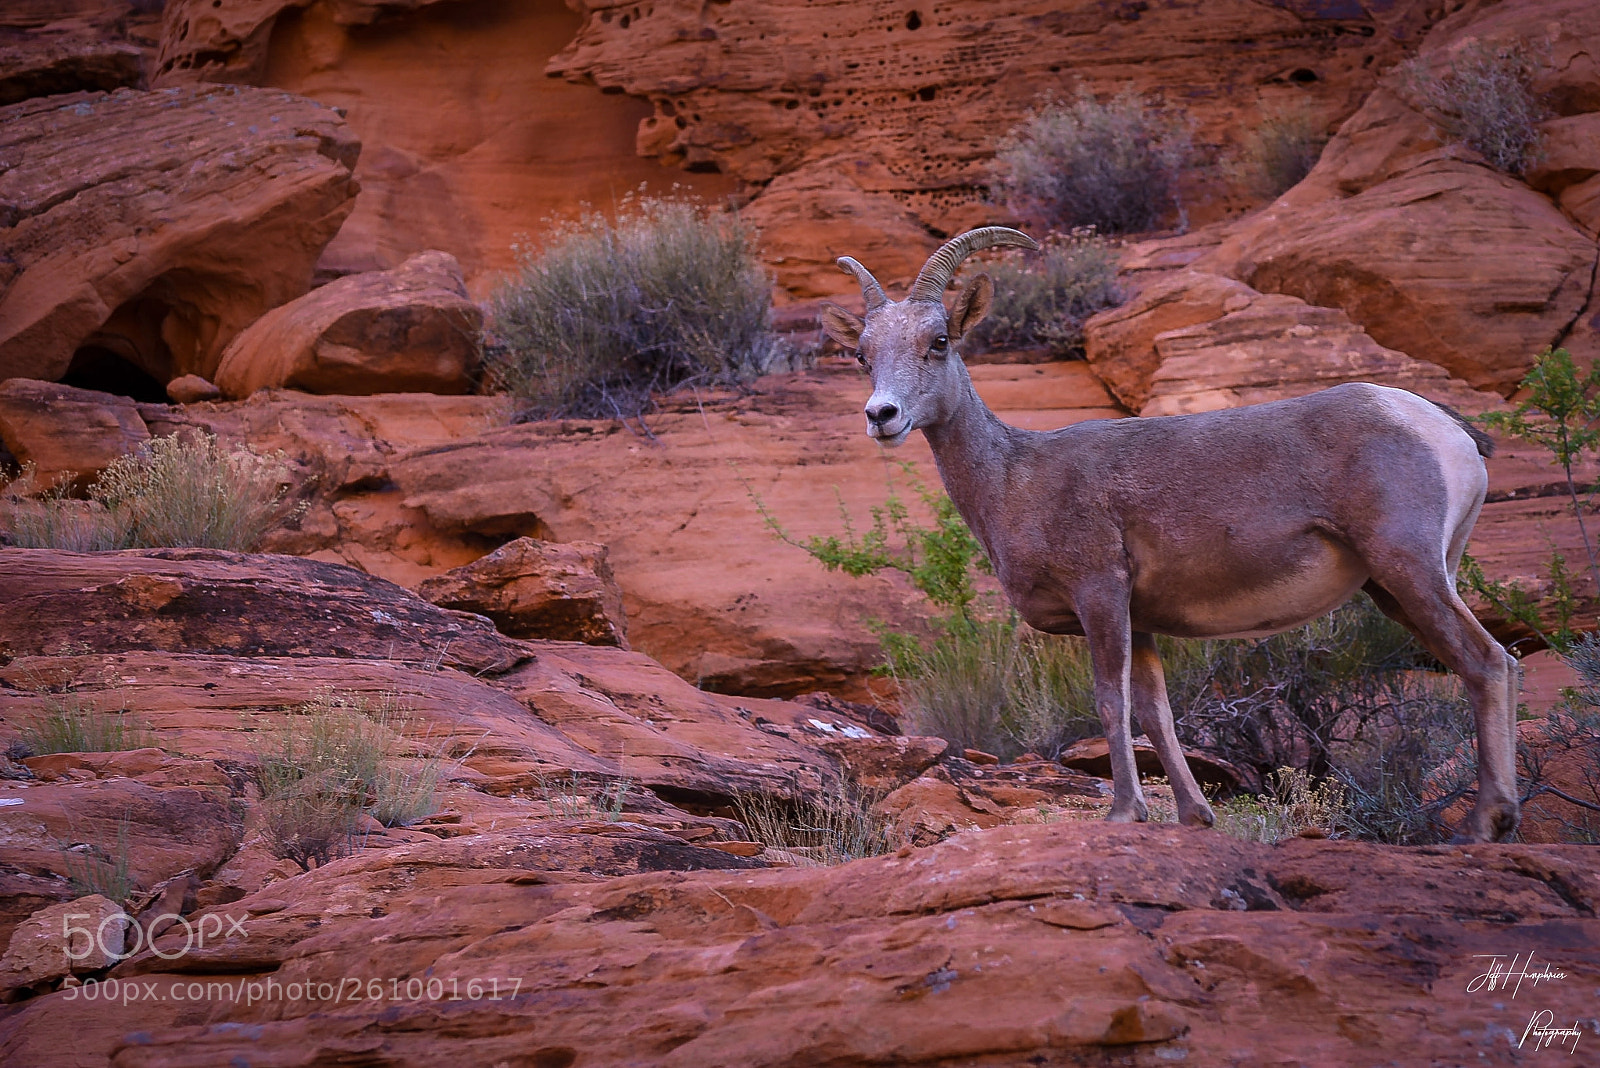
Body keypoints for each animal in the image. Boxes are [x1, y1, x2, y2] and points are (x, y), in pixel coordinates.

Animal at [820, 226, 1519, 842]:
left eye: (939, 341)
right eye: (862, 354)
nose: (881, 416)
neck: (1015, 478)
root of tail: (1442, 427)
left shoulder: (1100, 594)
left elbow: (1111, 702)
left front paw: (1124, 815)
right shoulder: (1143, 619)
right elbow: (1156, 713)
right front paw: (1192, 817)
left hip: (1409, 567)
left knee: (1486, 661)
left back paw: (1486, 823)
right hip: (1397, 587)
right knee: (1495, 663)